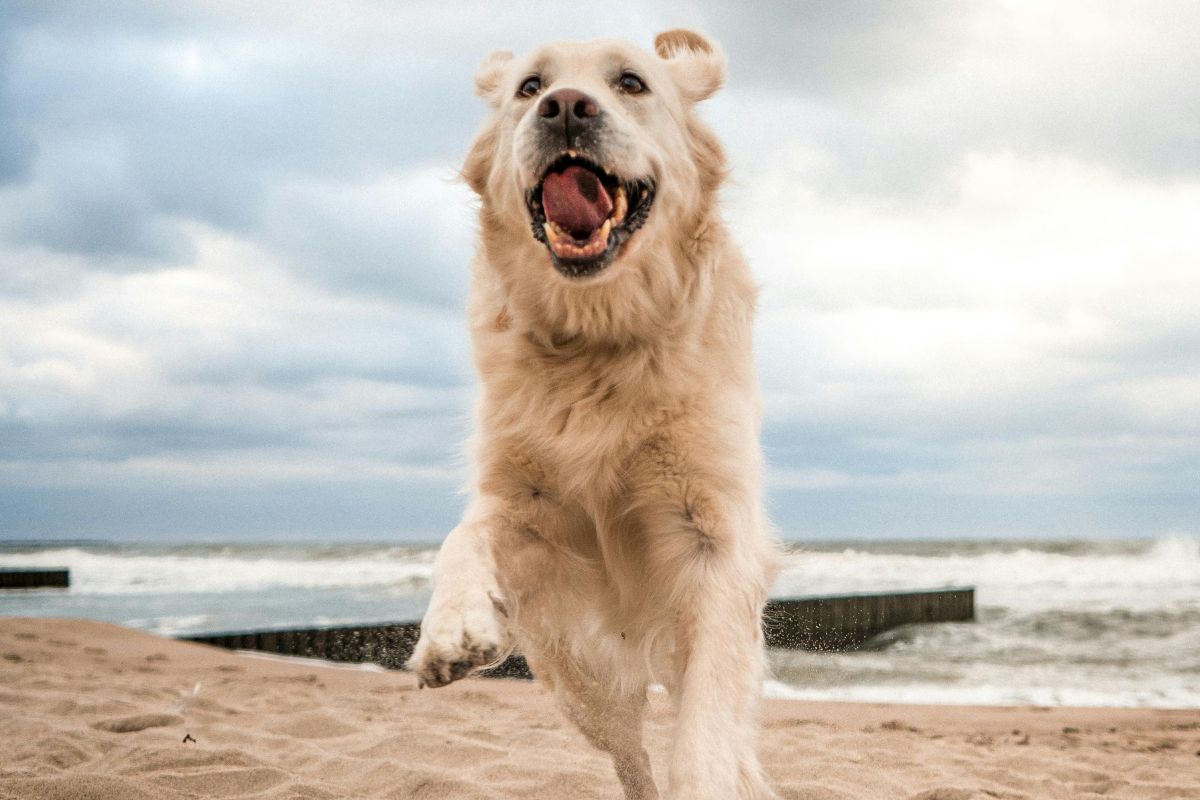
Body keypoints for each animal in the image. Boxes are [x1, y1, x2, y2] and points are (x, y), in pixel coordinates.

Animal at [408, 29, 772, 800]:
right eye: (528, 87)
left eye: (631, 82)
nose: (566, 107)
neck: (598, 338)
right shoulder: (527, 504)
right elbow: (465, 533)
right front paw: (451, 629)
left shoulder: (714, 536)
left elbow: (705, 732)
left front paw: (708, 772)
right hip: (583, 680)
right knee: (629, 753)